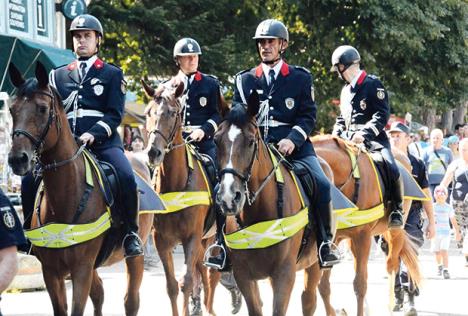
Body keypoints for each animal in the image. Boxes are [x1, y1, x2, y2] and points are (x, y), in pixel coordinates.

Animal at [6, 62, 154, 316]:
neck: (65, 197)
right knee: (99, 294)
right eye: (12, 109)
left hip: (136, 255)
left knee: (131, 300)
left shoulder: (81, 269)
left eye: (42, 109)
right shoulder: (51, 272)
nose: (18, 159)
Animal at [143, 80, 219, 314]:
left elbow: (185, 281)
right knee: (201, 271)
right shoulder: (161, 240)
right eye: (148, 112)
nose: (153, 153)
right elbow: (172, 286)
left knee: (211, 274)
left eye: (173, 112)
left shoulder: (191, 237)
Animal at [214, 91, 324, 316]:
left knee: (309, 300)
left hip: (314, 264)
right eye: (216, 140)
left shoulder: (285, 274)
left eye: (250, 141)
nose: (229, 197)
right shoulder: (243, 276)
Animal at [312, 135, 422, 316]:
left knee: (392, 265)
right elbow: (323, 286)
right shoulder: (333, 240)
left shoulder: (362, 237)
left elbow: (360, 284)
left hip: (394, 231)